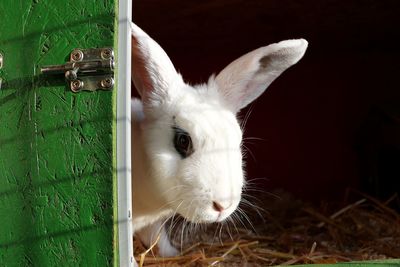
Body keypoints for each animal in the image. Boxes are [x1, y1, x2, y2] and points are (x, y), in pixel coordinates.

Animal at [130, 22, 306, 260]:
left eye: (237, 139)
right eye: (183, 141)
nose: (223, 205)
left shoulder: (153, 223)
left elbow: (158, 239)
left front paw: (173, 254)